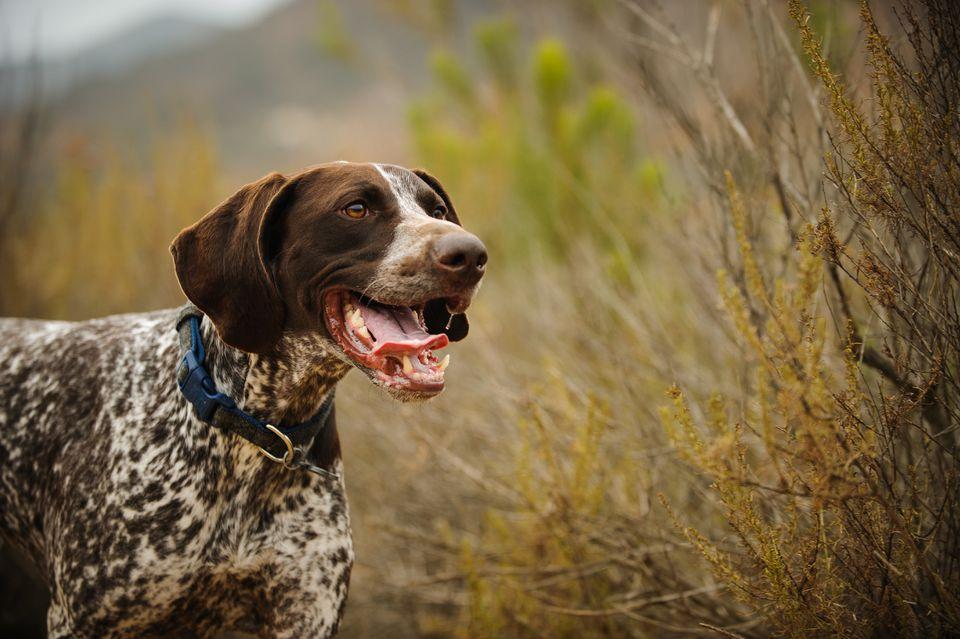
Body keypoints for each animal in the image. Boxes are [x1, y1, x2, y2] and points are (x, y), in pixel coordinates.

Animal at [0, 162, 488, 636]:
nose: (472, 255)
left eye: (438, 210)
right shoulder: (82, 618)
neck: (260, 431)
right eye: (355, 209)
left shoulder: (306, 613)